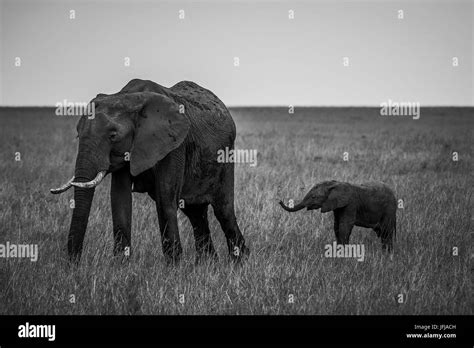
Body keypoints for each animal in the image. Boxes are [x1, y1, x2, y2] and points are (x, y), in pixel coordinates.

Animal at [51, 78, 250, 264]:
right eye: (78, 134)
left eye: (113, 136)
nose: (74, 265)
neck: (127, 97)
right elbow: (119, 199)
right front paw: (120, 267)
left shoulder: (174, 144)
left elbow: (165, 198)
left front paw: (174, 269)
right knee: (195, 213)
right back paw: (208, 265)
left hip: (225, 157)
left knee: (223, 210)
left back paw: (239, 263)